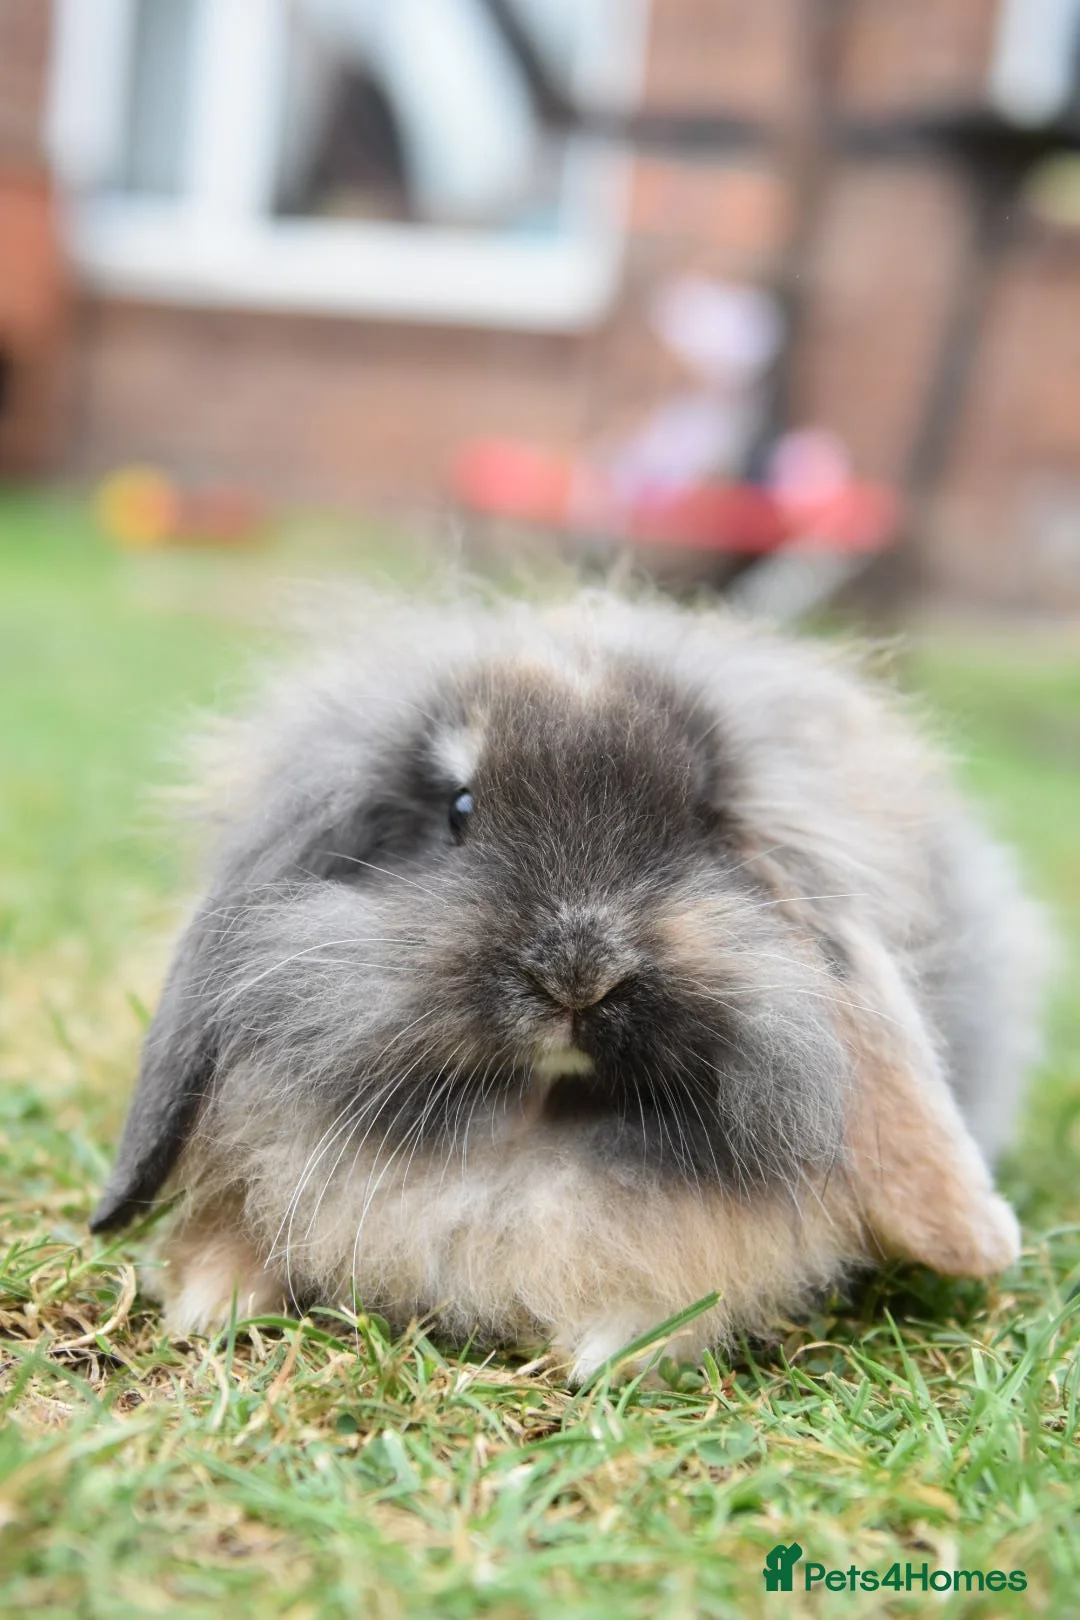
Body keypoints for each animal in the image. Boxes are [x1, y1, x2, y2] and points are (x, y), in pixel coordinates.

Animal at [89, 589, 1049, 1382]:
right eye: (459, 810)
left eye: (701, 822)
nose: (577, 974)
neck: (532, 1126)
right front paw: (206, 1304)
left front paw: (607, 1354)